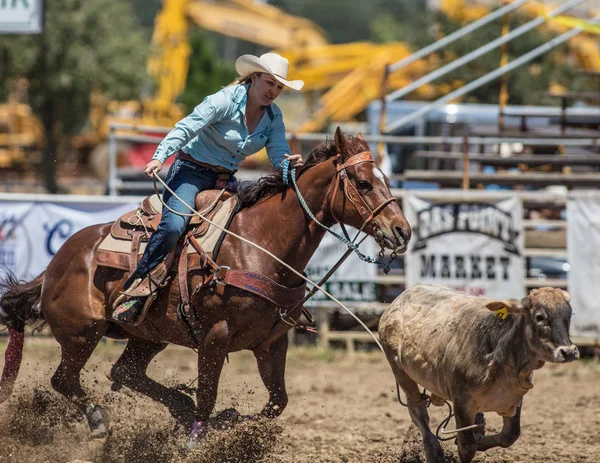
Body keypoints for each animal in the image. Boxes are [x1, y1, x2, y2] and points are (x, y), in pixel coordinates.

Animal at [0, 127, 412, 442]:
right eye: (363, 183)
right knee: (64, 380)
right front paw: (199, 437)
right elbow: (208, 396)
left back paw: (176, 408)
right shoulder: (216, 334)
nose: (402, 231)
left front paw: (232, 423)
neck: (258, 243)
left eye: (387, 181)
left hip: (149, 335)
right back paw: (101, 422)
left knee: (124, 372)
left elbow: (277, 402)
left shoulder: (272, 342)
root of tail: (54, 265)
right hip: (82, 333)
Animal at [380, 282, 580, 463]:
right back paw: (433, 452)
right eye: (540, 316)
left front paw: (481, 440)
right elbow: (467, 447)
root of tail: (398, 300)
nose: (569, 352)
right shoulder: (462, 402)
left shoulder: (513, 398)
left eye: (568, 315)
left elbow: (510, 435)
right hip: (399, 370)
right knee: (418, 411)